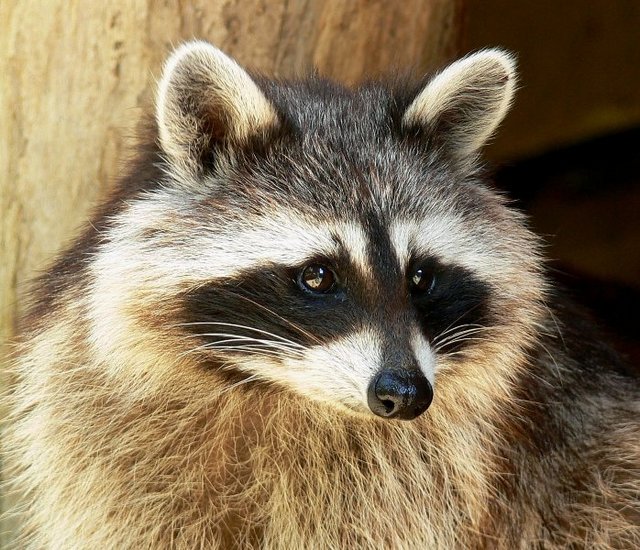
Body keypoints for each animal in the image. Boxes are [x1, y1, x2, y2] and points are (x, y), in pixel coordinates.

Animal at [6, 41, 639, 548]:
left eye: (420, 277)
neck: (273, 391)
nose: (406, 394)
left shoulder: (422, 478)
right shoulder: (103, 445)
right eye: (317, 276)